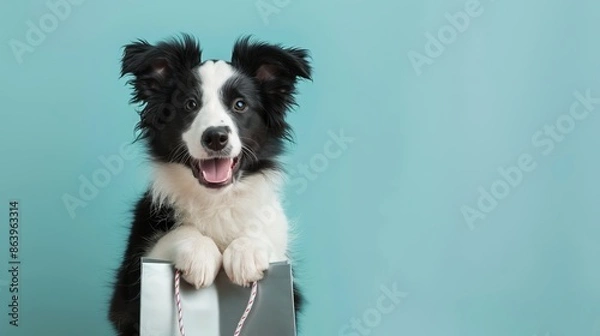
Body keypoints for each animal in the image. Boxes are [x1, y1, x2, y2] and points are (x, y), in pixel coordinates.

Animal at [109, 35, 312, 334]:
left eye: (240, 105)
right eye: (190, 104)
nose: (215, 137)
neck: (216, 200)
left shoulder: (289, 279)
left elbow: (262, 230)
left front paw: (246, 251)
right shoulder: (128, 289)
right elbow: (176, 234)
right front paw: (199, 252)